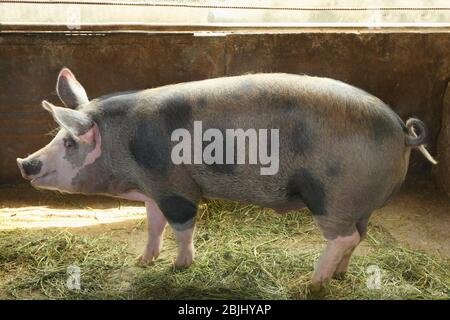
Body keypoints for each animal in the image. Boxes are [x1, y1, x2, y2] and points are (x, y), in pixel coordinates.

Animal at [16, 69, 436, 292]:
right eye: (57, 136)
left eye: (70, 142)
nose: (25, 163)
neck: (126, 143)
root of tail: (403, 131)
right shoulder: (155, 189)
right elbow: (153, 225)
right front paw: (142, 261)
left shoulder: (177, 186)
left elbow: (182, 226)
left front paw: (179, 268)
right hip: (357, 203)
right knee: (358, 236)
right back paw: (340, 275)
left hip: (331, 195)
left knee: (342, 238)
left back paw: (309, 284)